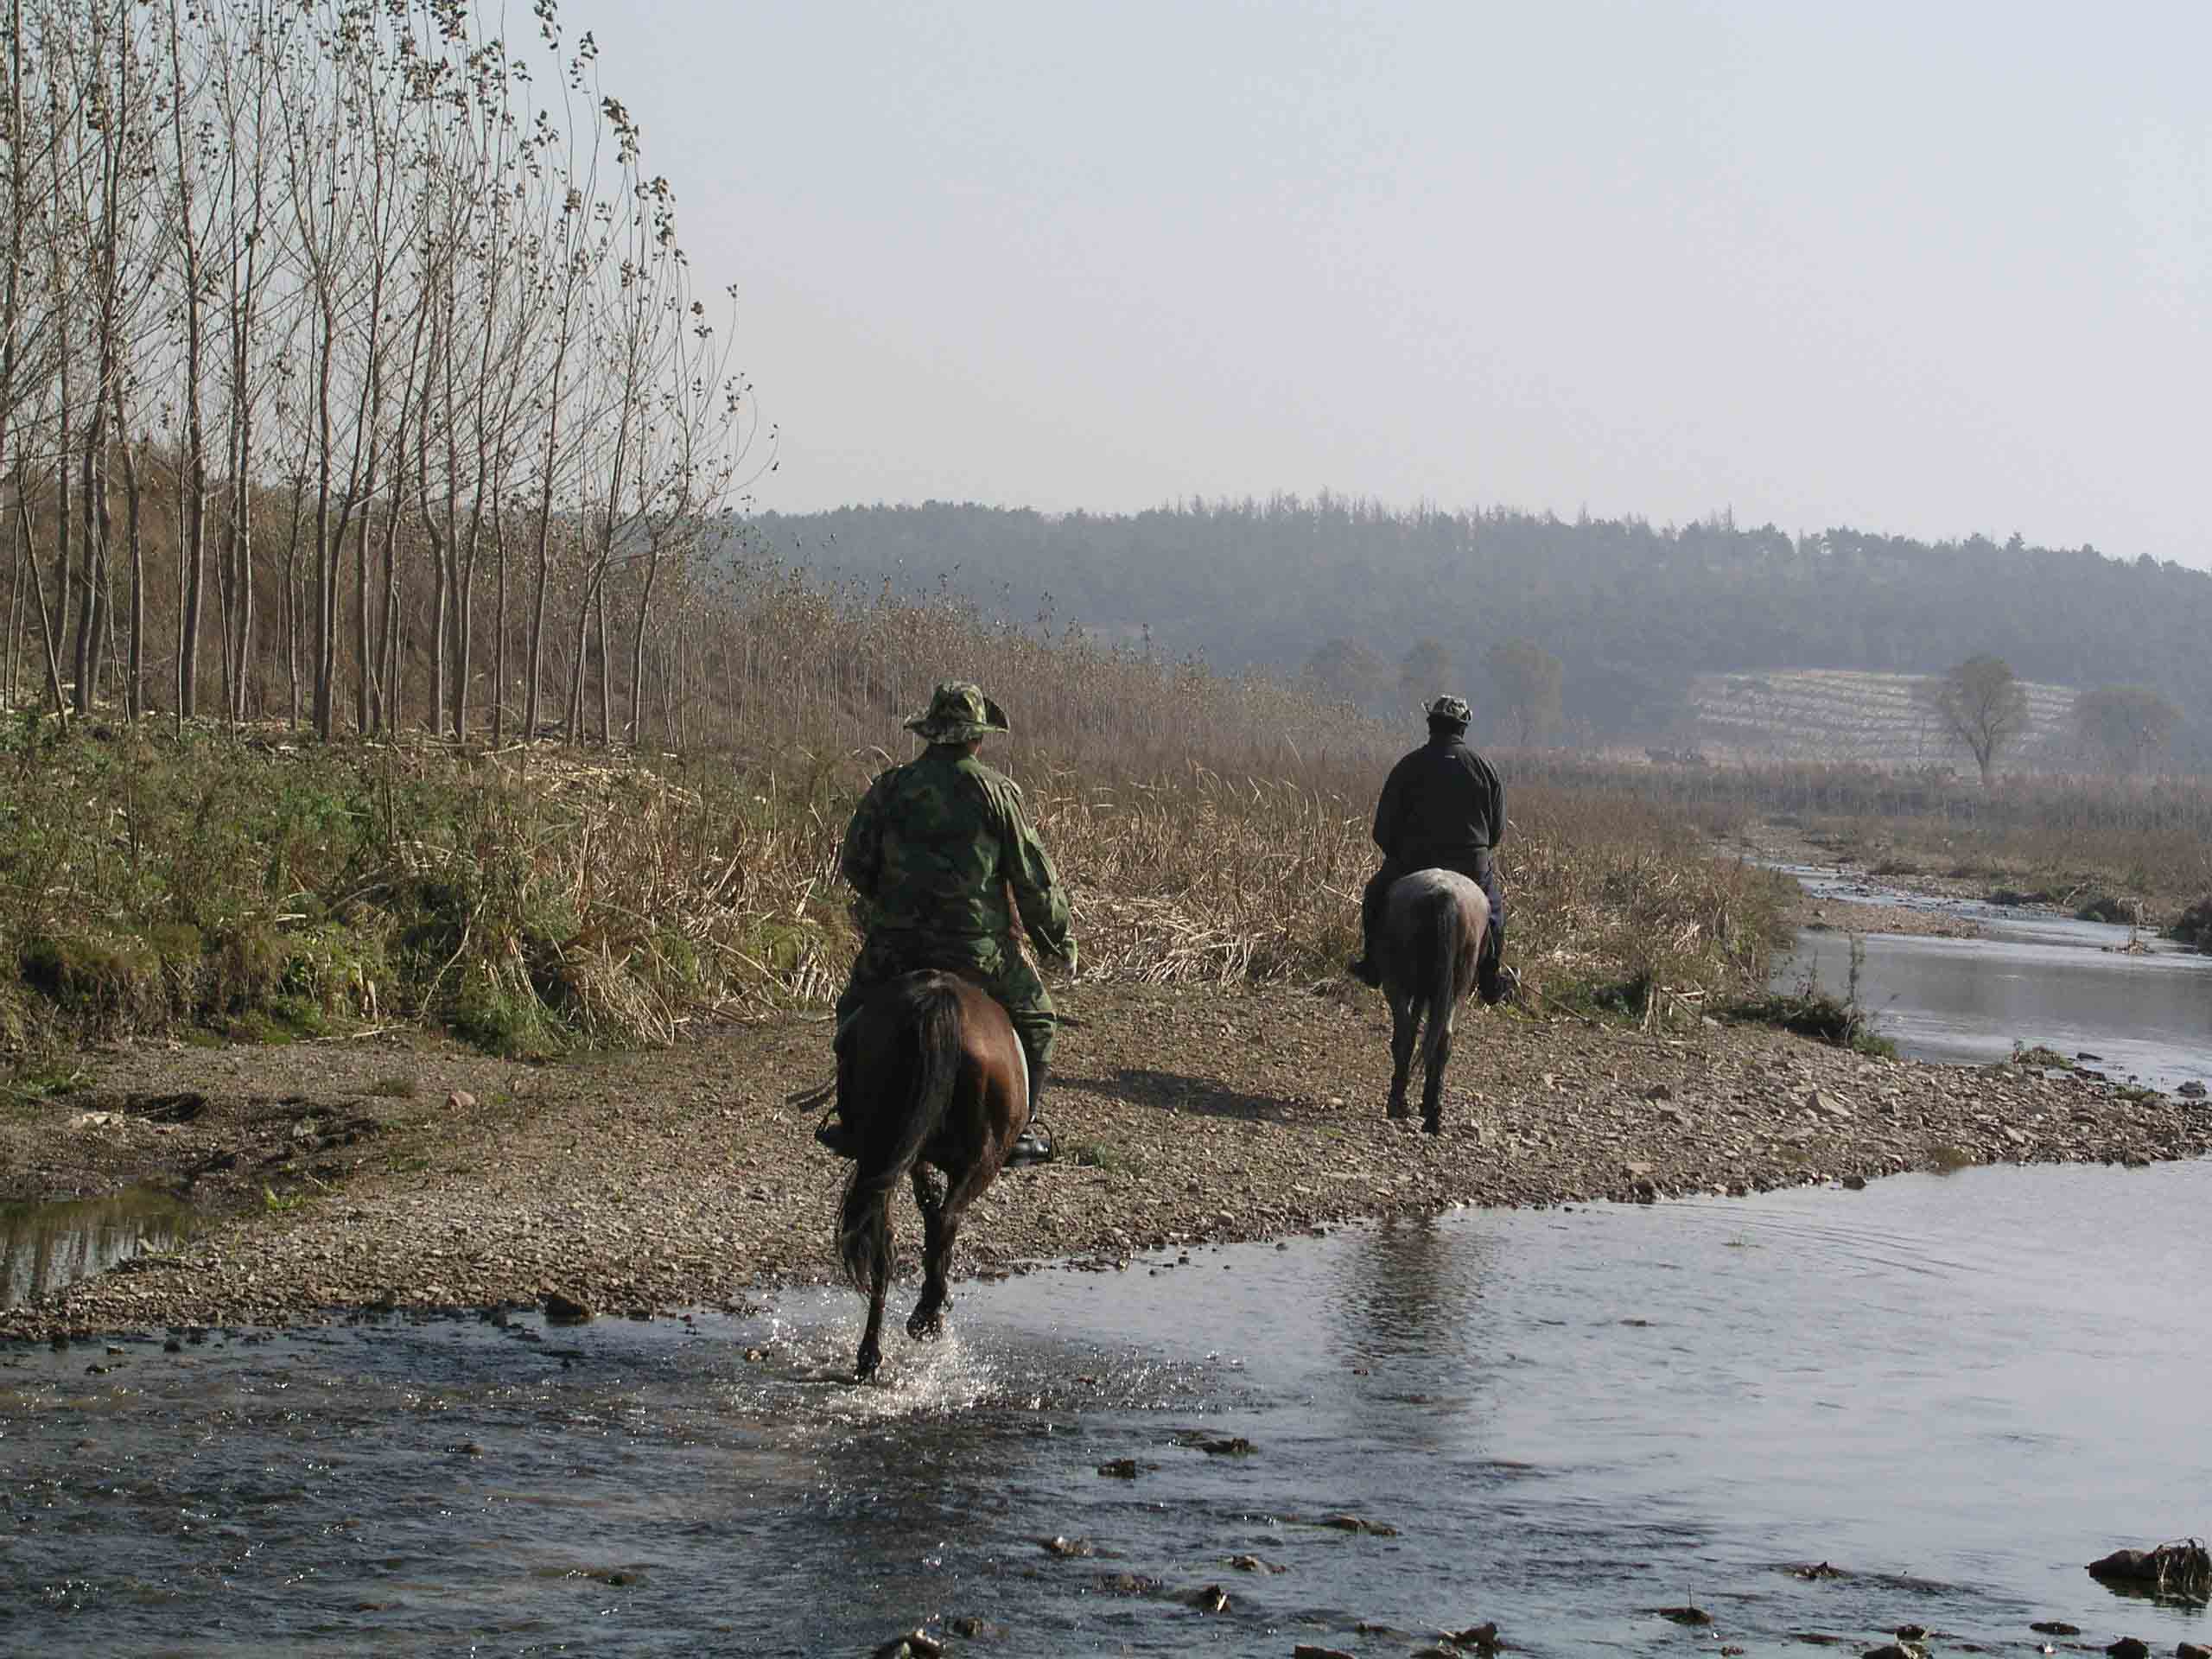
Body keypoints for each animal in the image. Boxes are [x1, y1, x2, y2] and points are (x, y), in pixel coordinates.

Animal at [831, 969, 1030, 1380]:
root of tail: (938, 1003)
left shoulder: (912, 1156)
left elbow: (925, 1202)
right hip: (982, 1160)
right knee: (946, 1220)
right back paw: (927, 1316)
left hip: (881, 1152)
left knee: (882, 1245)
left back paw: (870, 1356)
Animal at [1371, 871, 1495, 1132]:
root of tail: (1443, 896)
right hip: (1457, 986)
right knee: (1442, 1037)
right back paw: (1432, 1112)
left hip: (1395, 982)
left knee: (1406, 1035)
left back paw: (1398, 1102)